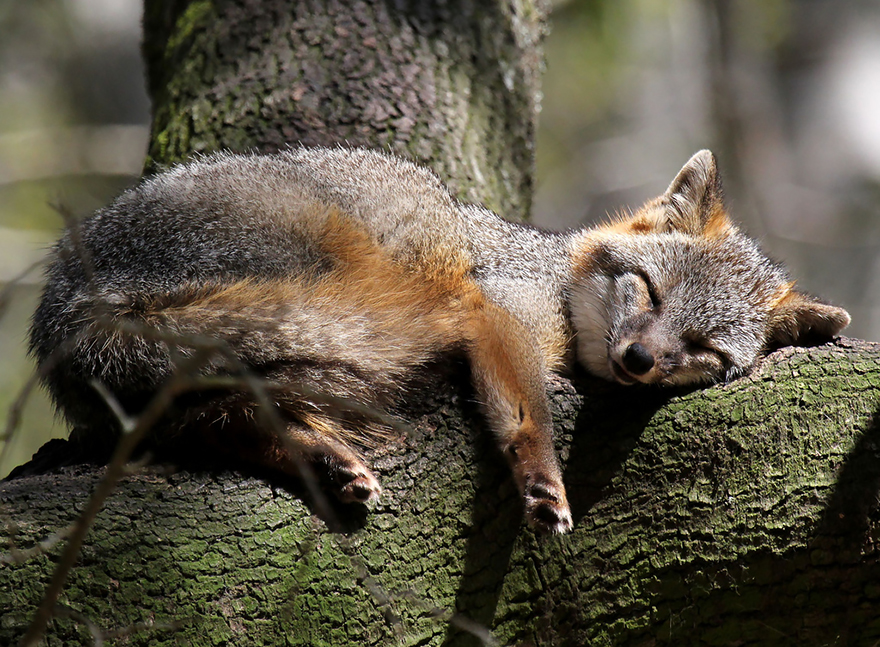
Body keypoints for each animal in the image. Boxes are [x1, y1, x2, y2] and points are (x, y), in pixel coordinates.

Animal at [29, 146, 850, 534]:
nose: (639, 359)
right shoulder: (495, 306)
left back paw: (321, 458)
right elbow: (524, 413)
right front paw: (541, 478)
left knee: (218, 413)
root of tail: (64, 298)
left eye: (703, 349)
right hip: (362, 245)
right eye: (647, 291)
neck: (553, 276)